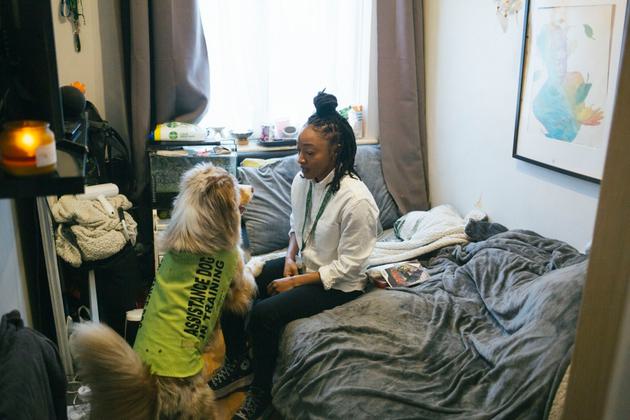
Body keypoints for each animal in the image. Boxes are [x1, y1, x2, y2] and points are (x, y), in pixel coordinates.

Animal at [73, 163, 260, 420]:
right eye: (233, 184)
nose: (252, 188)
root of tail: (154, 389)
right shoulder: (237, 284)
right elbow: (249, 270)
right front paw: (264, 262)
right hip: (200, 396)